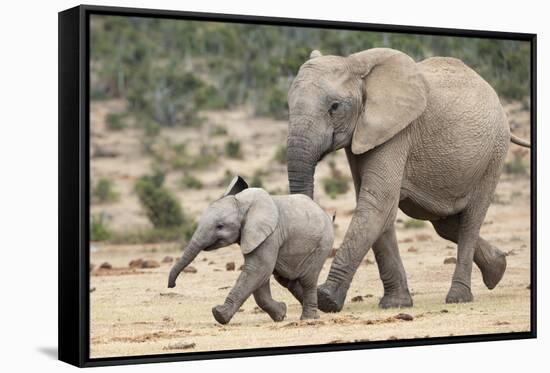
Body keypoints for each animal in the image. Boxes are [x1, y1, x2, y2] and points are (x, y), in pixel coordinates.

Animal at [168, 187, 334, 324]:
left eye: (220, 226)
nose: (172, 285)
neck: (241, 203)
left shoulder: (270, 235)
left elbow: (258, 269)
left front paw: (219, 314)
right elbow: (260, 277)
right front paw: (281, 314)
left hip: (322, 244)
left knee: (307, 280)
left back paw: (308, 318)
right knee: (288, 280)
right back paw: (318, 314)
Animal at [286, 49, 532, 310]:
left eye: (334, 107)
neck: (354, 63)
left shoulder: (397, 132)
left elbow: (377, 204)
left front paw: (327, 299)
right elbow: (378, 208)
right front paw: (397, 303)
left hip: (493, 155)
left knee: (470, 221)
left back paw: (458, 297)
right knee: (444, 224)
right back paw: (497, 269)